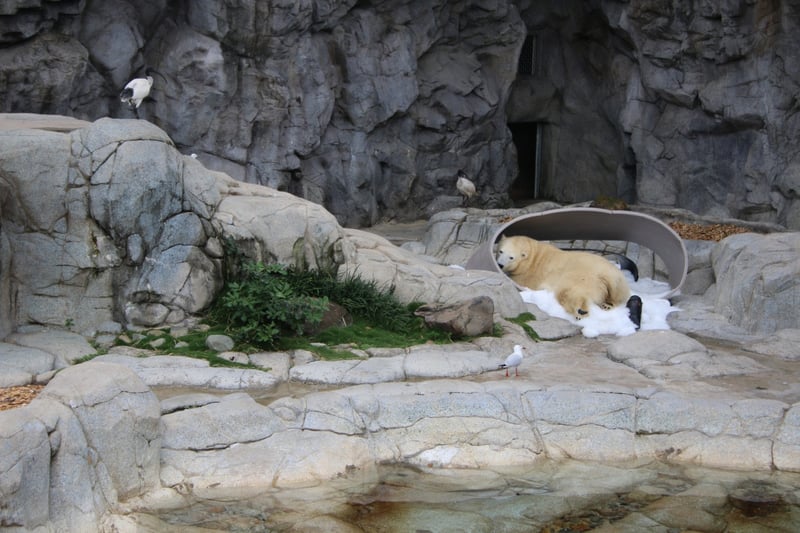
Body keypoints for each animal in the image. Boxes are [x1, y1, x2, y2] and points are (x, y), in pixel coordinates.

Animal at [494, 235, 632, 318]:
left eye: (511, 257)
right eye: (501, 251)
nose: (500, 265)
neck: (534, 255)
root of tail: (606, 275)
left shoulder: (529, 275)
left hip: (581, 277)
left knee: (568, 292)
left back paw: (581, 311)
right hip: (619, 282)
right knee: (618, 295)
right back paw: (607, 304)